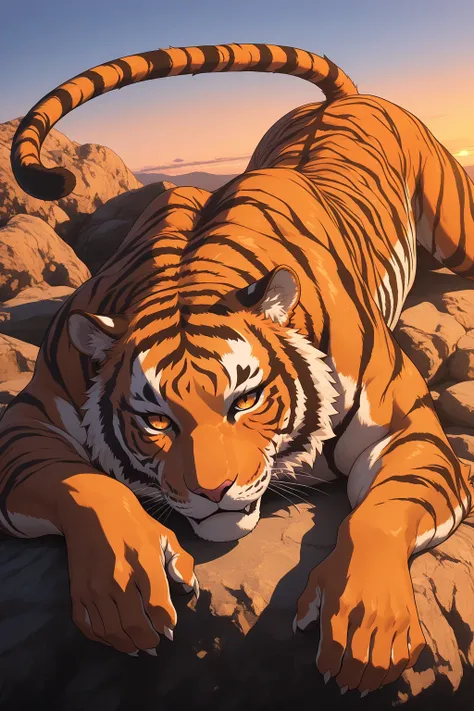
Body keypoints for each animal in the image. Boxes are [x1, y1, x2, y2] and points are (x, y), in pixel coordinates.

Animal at [3, 43, 474, 696]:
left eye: (245, 400)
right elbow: (88, 487)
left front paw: (368, 625)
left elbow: (379, 515)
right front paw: (124, 588)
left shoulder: (406, 429)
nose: (213, 491)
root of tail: (350, 97)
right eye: (157, 422)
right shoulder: (30, 420)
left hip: (459, 224)